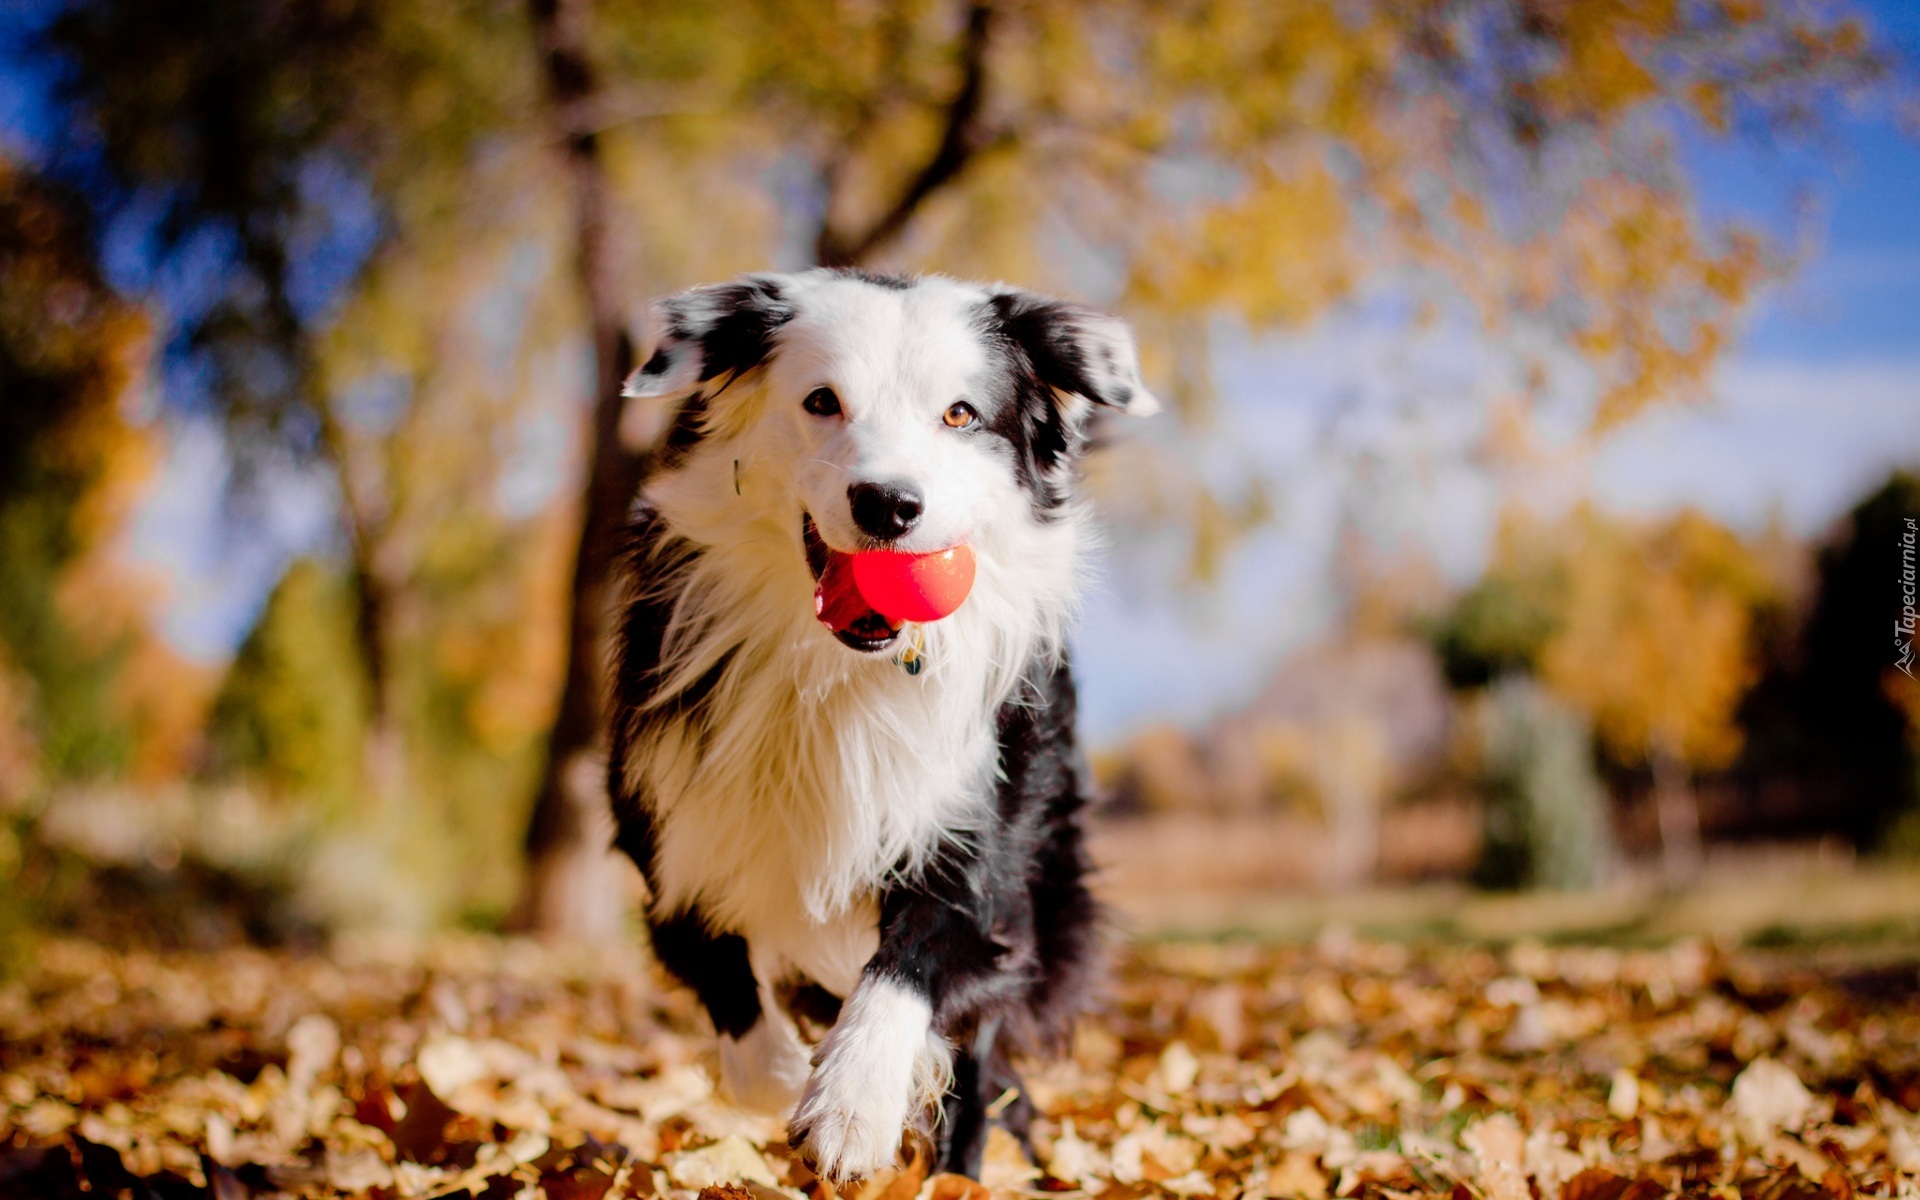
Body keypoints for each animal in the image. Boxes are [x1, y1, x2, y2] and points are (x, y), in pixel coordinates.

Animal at [610, 268, 1152, 1182]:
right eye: (822, 401)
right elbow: (734, 1009)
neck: (843, 672)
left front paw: (851, 1106)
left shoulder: (979, 847)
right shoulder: (670, 838)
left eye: (961, 414)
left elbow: (911, 963)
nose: (889, 503)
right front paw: (789, 1074)